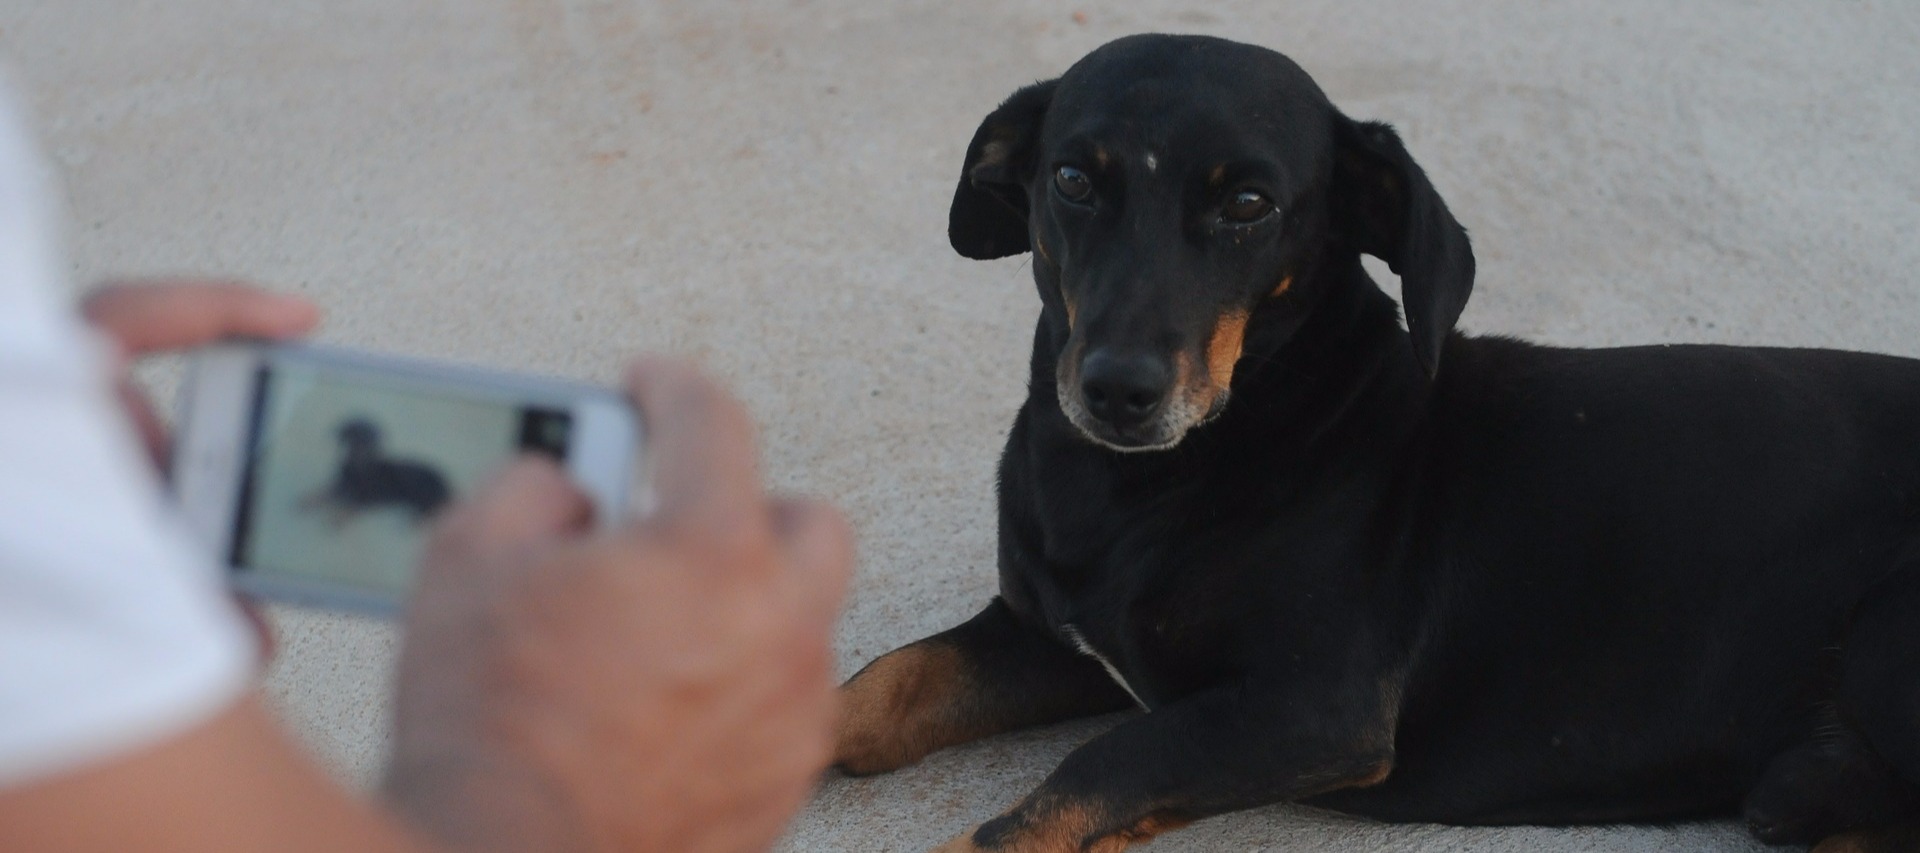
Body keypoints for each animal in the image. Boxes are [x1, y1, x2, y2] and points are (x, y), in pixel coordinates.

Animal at [299, 418, 449, 530]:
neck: (356, 469)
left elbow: (350, 506)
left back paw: (415, 522)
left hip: (419, 488)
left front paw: (337, 518)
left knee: (433, 510)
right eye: (354, 437)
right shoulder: (341, 484)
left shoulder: (365, 497)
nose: (362, 455)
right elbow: (323, 491)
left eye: (370, 442)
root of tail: (447, 484)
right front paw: (307, 500)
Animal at [833, 33, 1920, 853]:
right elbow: (888, 680)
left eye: (1248, 203)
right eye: (1070, 178)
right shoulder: (1052, 638)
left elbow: (1098, 763)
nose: (1118, 390)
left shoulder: (1313, 705)